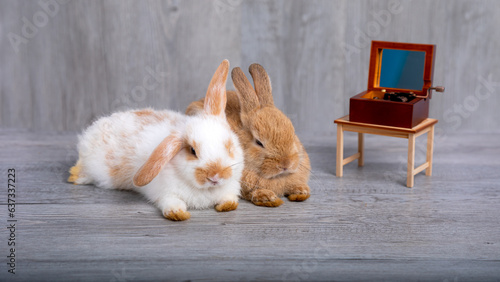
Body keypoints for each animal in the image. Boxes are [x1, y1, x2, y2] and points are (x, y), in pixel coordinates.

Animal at [68, 60, 244, 220]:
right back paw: (74, 176)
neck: (206, 190)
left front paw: (226, 206)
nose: (215, 176)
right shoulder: (166, 193)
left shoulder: (230, 189)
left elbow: (230, 200)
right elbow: (171, 203)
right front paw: (178, 214)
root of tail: (94, 129)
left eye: (229, 147)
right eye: (192, 151)